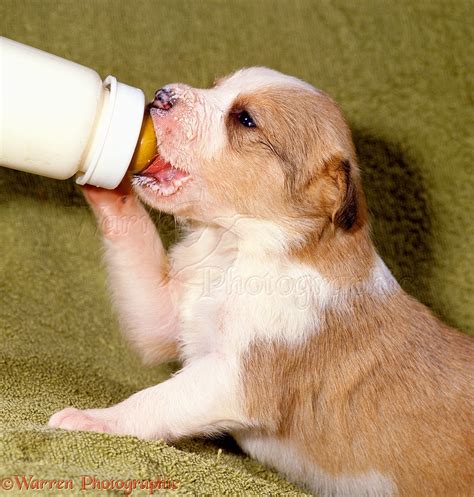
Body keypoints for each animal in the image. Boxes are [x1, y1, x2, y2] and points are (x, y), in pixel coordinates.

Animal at [50, 67, 472, 496]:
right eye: (215, 86)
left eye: (245, 120)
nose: (162, 95)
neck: (236, 248)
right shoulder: (165, 317)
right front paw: (106, 168)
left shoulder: (232, 378)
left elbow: (153, 402)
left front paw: (91, 420)